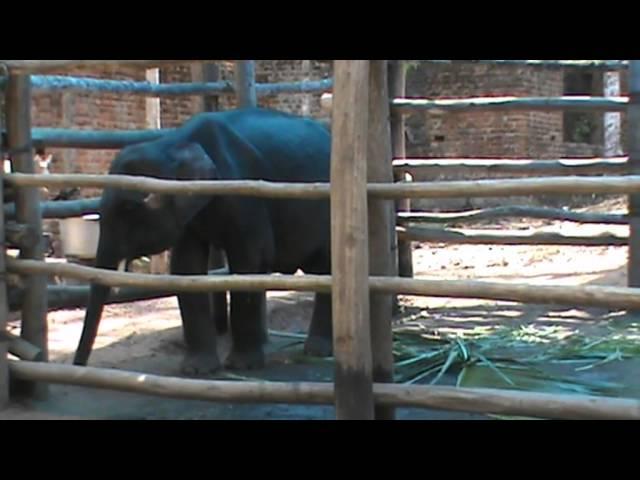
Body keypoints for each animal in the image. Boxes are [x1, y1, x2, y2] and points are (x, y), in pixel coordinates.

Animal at [72, 107, 332, 374]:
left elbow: (249, 262)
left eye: (129, 208)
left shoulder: (244, 194)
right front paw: (196, 369)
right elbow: (186, 267)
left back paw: (317, 351)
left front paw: (241, 365)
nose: (78, 366)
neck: (174, 144)